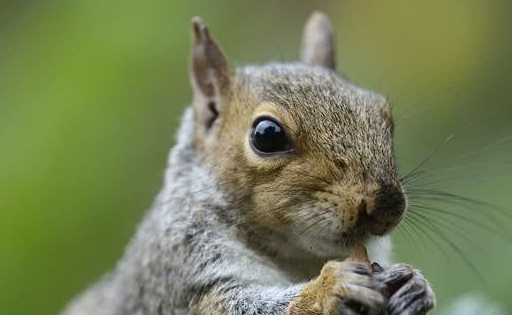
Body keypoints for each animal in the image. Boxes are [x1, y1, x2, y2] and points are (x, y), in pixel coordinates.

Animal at [62, 11, 434, 314]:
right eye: (267, 135)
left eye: (383, 115)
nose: (387, 204)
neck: (297, 257)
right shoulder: (182, 280)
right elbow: (235, 306)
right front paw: (327, 290)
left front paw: (416, 286)